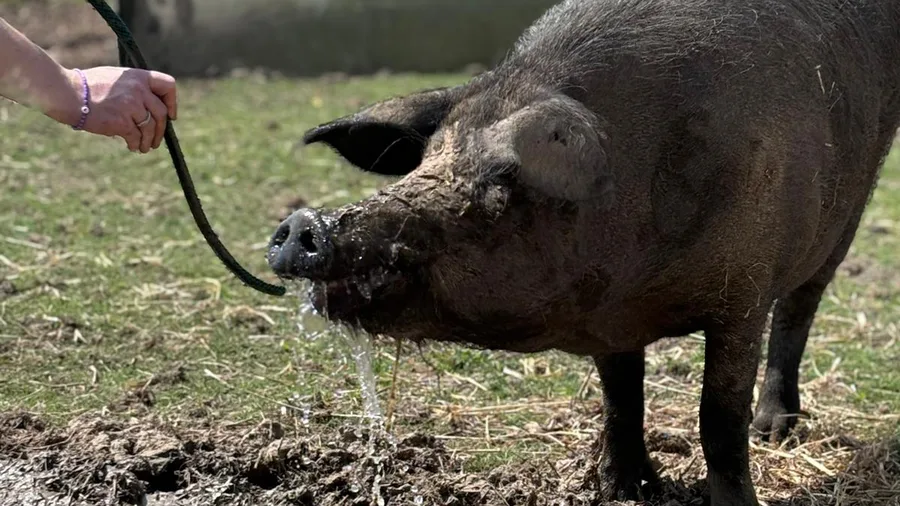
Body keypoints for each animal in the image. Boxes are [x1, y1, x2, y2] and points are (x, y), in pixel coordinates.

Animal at [266, 0, 900, 504]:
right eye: (426, 160)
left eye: (504, 181)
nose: (305, 224)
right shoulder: (605, 317)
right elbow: (620, 399)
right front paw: (626, 491)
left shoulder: (742, 289)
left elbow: (718, 417)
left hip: (846, 213)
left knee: (800, 308)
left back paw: (773, 431)